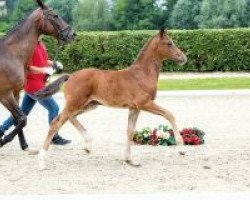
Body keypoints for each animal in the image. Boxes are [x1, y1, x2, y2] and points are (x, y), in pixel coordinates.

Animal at [36, 28, 187, 169]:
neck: (142, 74)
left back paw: (88, 145)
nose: (183, 58)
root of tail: (70, 76)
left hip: (89, 105)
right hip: (76, 104)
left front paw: (129, 160)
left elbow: (130, 131)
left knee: (70, 118)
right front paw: (181, 149)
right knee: (56, 123)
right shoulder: (145, 103)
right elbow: (169, 114)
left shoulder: (134, 108)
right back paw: (42, 161)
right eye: (169, 43)